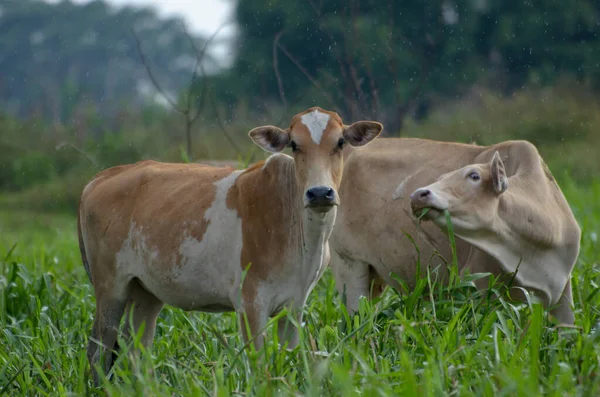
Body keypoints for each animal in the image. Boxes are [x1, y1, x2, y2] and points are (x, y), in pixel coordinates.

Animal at [77, 106, 382, 384]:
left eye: (340, 142)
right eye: (295, 144)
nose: (319, 193)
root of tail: (101, 178)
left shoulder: (294, 307)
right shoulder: (250, 304)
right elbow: (258, 367)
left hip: (145, 292)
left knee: (136, 352)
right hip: (110, 289)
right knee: (98, 351)